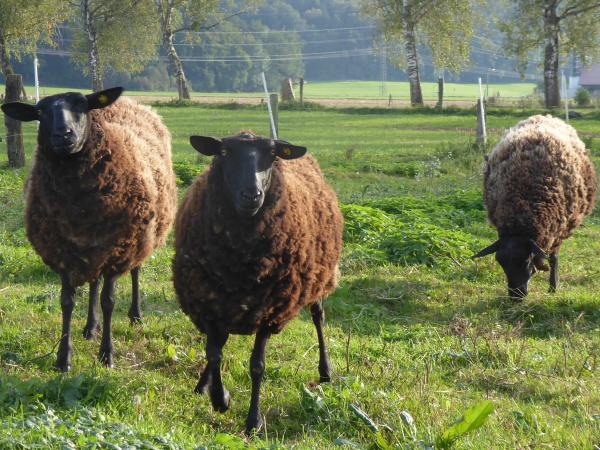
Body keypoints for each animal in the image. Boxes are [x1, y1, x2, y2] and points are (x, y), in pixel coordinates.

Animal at [1, 86, 177, 370]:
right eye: (40, 112)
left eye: (82, 106)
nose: (63, 135)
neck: (78, 207)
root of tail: (132, 103)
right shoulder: (62, 252)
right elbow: (67, 302)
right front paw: (63, 358)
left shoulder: (119, 251)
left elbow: (109, 302)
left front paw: (107, 355)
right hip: (94, 247)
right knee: (94, 282)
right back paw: (90, 327)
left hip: (140, 237)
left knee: (135, 272)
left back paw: (135, 315)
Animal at [172, 132, 342, 434]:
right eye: (225, 152)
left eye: (272, 155)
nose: (252, 195)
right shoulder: (208, 303)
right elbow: (214, 354)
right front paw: (220, 398)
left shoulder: (271, 308)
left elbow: (257, 366)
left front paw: (253, 421)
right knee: (218, 344)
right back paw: (203, 385)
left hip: (317, 279)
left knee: (318, 317)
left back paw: (325, 371)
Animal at [474, 114, 596, 298]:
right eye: (499, 262)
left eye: (526, 261)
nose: (516, 296)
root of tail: (543, 116)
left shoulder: (557, 230)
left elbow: (553, 258)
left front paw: (553, 287)